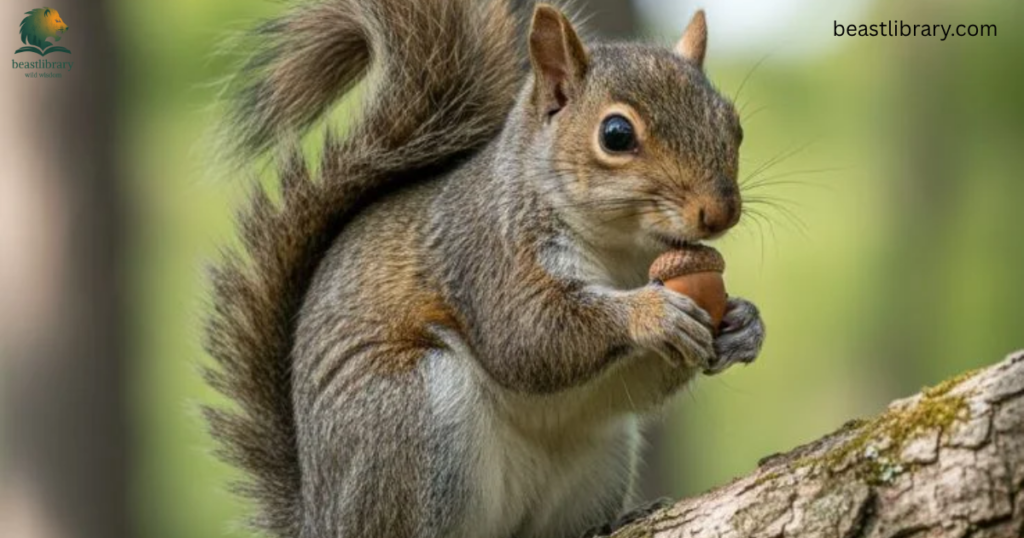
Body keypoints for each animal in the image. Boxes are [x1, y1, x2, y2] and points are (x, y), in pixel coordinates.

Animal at [203, 1, 766, 537]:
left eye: (734, 124)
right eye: (616, 134)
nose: (721, 212)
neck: (622, 251)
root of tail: (320, 518)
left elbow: (640, 382)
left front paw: (744, 324)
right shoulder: (488, 254)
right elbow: (529, 337)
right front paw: (649, 314)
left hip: (598, 460)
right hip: (406, 418)